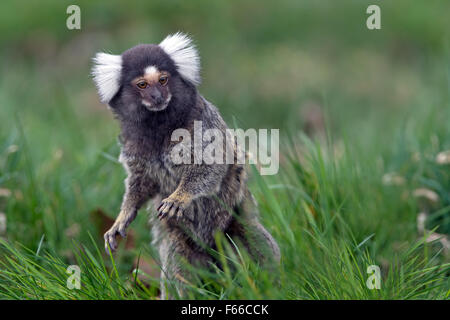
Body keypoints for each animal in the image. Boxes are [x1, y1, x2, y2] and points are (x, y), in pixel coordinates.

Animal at [91, 32, 280, 298]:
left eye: (163, 80)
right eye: (142, 85)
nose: (157, 97)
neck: (159, 125)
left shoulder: (202, 122)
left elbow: (211, 165)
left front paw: (180, 197)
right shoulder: (132, 143)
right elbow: (141, 183)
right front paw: (122, 217)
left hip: (232, 224)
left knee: (253, 235)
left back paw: (272, 285)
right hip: (181, 239)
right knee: (178, 263)